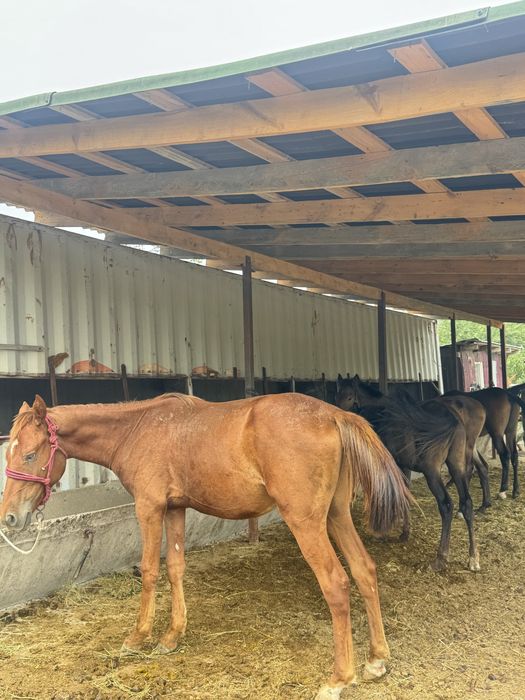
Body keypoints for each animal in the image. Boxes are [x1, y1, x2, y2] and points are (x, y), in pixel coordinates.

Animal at [0, 393, 412, 700]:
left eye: (31, 454)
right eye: (10, 452)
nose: (10, 518)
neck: (137, 429)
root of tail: (334, 415)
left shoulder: (149, 508)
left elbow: (149, 571)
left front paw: (138, 637)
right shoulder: (175, 509)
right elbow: (175, 568)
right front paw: (172, 635)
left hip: (307, 523)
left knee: (336, 584)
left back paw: (339, 678)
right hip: (337, 516)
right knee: (364, 571)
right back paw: (377, 659)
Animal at [335, 376, 481, 571]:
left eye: (350, 397)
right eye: (337, 393)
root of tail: (453, 419)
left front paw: (382, 531)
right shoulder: (404, 466)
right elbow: (405, 493)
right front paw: (405, 532)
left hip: (432, 472)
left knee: (446, 505)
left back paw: (440, 558)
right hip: (457, 467)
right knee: (467, 503)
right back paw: (473, 557)